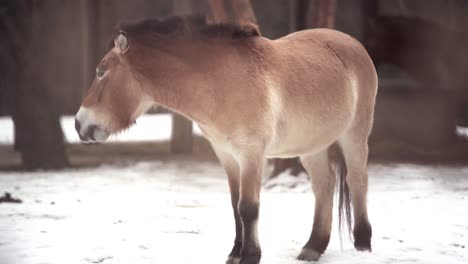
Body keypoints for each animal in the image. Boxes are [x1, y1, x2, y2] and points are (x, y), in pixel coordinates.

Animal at [75, 15, 378, 264]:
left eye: (100, 72)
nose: (79, 124)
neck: (223, 82)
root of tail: (354, 45)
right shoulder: (226, 155)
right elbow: (235, 205)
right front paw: (235, 253)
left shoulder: (251, 154)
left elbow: (248, 207)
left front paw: (250, 256)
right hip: (311, 146)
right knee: (324, 187)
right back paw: (313, 247)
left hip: (354, 135)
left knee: (357, 181)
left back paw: (363, 244)